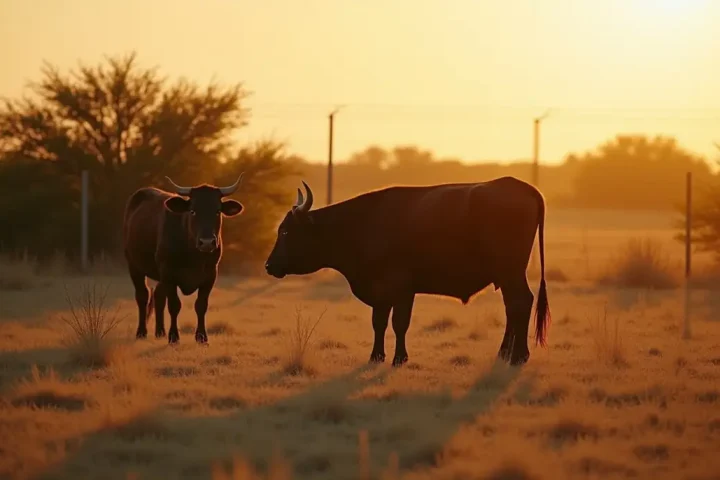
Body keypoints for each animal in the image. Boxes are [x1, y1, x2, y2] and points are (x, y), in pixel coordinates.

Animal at [122, 175, 245, 344]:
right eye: (192, 211)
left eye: (217, 211)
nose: (207, 242)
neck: (194, 256)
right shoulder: (169, 273)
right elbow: (174, 305)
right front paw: (174, 336)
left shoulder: (210, 275)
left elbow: (201, 305)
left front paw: (202, 337)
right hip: (134, 266)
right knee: (143, 296)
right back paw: (141, 332)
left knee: (158, 296)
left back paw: (160, 331)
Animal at [264, 176, 551, 366]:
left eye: (286, 231)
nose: (269, 265)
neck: (363, 223)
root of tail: (521, 186)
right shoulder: (381, 293)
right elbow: (378, 323)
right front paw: (376, 356)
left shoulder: (402, 289)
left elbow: (399, 323)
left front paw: (399, 358)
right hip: (506, 276)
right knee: (513, 307)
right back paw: (505, 353)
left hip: (511, 272)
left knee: (520, 303)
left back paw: (518, 356)